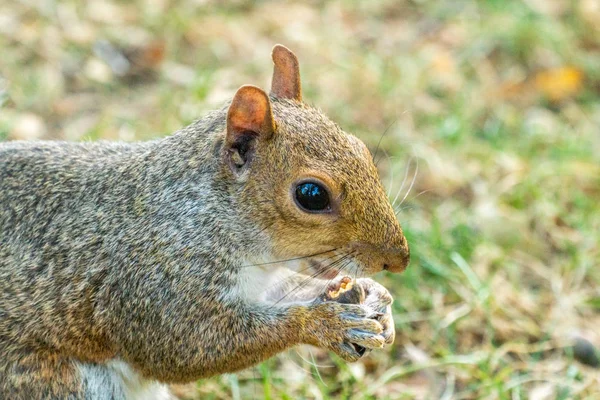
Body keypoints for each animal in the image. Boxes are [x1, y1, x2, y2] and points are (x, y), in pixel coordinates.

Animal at [0, 45, 408, 398]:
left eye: (361, 148)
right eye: (311, 195)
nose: (397, 260)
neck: (210, 214)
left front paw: (373, 295)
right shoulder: (157, 284)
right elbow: (188, 348)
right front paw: (325, 323)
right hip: (51, 379)